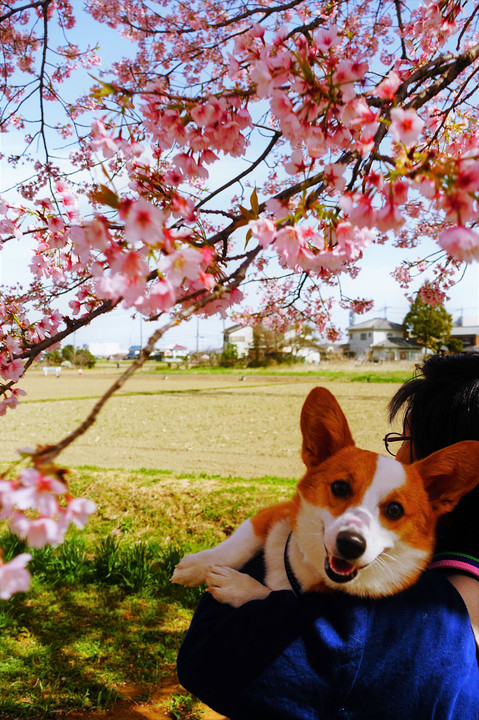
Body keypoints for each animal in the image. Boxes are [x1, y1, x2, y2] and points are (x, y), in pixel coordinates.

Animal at [171, 386, 479, 604]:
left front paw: (236, 586)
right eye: (340, 487)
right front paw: (196, 566)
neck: (308, 565)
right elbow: (238, 545)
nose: (351, 544)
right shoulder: (276, 512)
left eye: (395, 510)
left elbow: (271, 594)